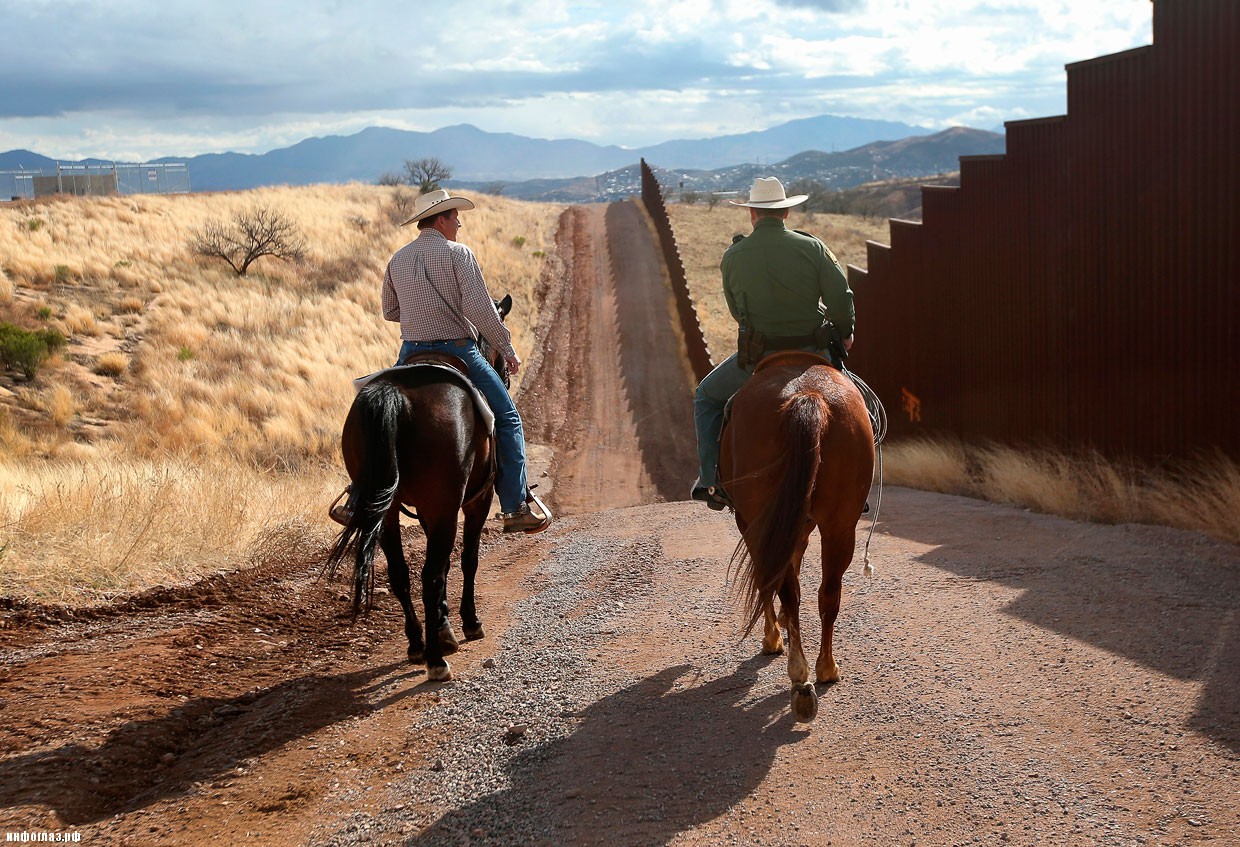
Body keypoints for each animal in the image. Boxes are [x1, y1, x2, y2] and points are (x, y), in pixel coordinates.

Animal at [714, 352, 877, 724]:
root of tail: (808, 395)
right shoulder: (797, 525)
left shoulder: (752, 523)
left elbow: (768, 580)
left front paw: (773, 637)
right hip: (839, 525)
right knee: (827, 593)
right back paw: (824, 669)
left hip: (763, 519)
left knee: (785, 588)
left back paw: (801, 678)